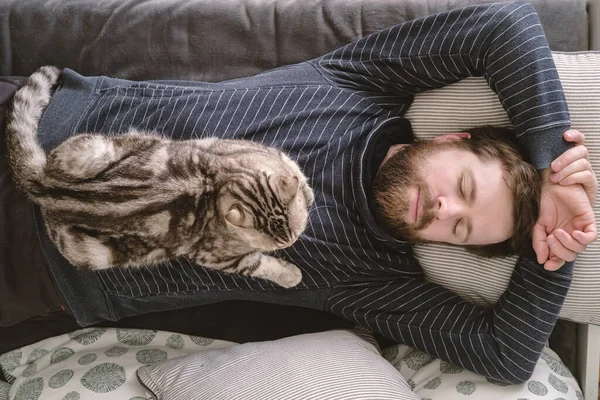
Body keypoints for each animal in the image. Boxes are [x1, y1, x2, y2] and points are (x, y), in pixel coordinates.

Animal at [7, 66, 314, 288]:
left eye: (294, 234)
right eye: (280, 242)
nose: (290, 243)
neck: (218, 183)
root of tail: (44, 185)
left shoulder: (258, 152)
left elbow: (295, 169)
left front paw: (307, 192)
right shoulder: (215, 257)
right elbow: (260, 265)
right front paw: (290, 275)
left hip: (90, 151)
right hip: (90, 251)